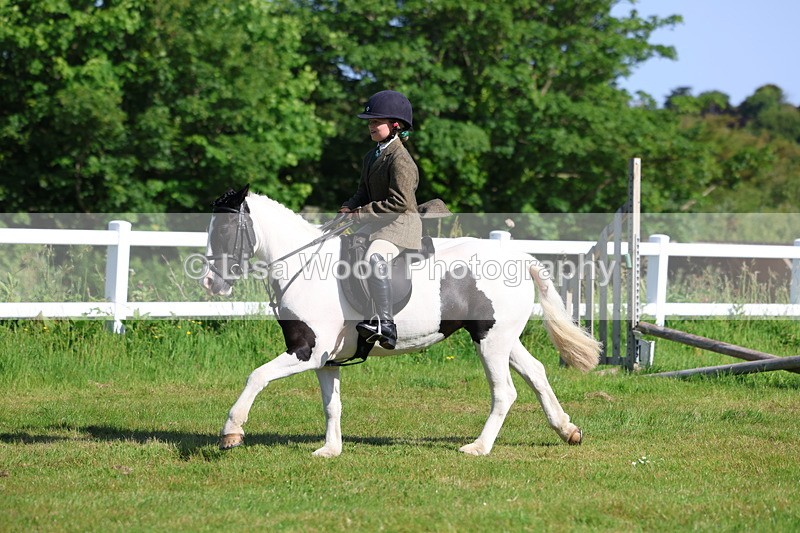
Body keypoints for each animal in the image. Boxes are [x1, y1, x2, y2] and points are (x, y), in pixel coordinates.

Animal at [201, 186, 601, 457]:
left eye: (224, 230)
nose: (210, 283)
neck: (305, 266)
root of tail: (520, 257)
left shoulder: (306, 351)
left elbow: (256, 376)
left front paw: (231, 432)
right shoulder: (326, 360)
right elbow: (331, 404)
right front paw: (330, 450)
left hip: (491, 341)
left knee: (505, 391)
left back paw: (478, 447)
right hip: (499, 337)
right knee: (536, 373)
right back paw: (567, 430)